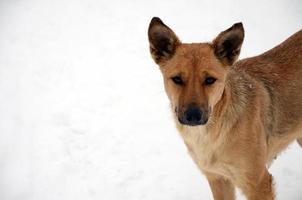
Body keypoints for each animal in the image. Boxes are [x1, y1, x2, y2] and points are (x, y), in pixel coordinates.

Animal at [148, 17, 302, 200]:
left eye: (210, 80)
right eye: (177, 79)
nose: (193, 116)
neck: (212, 134)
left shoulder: (258, 183)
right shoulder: (218, 178)